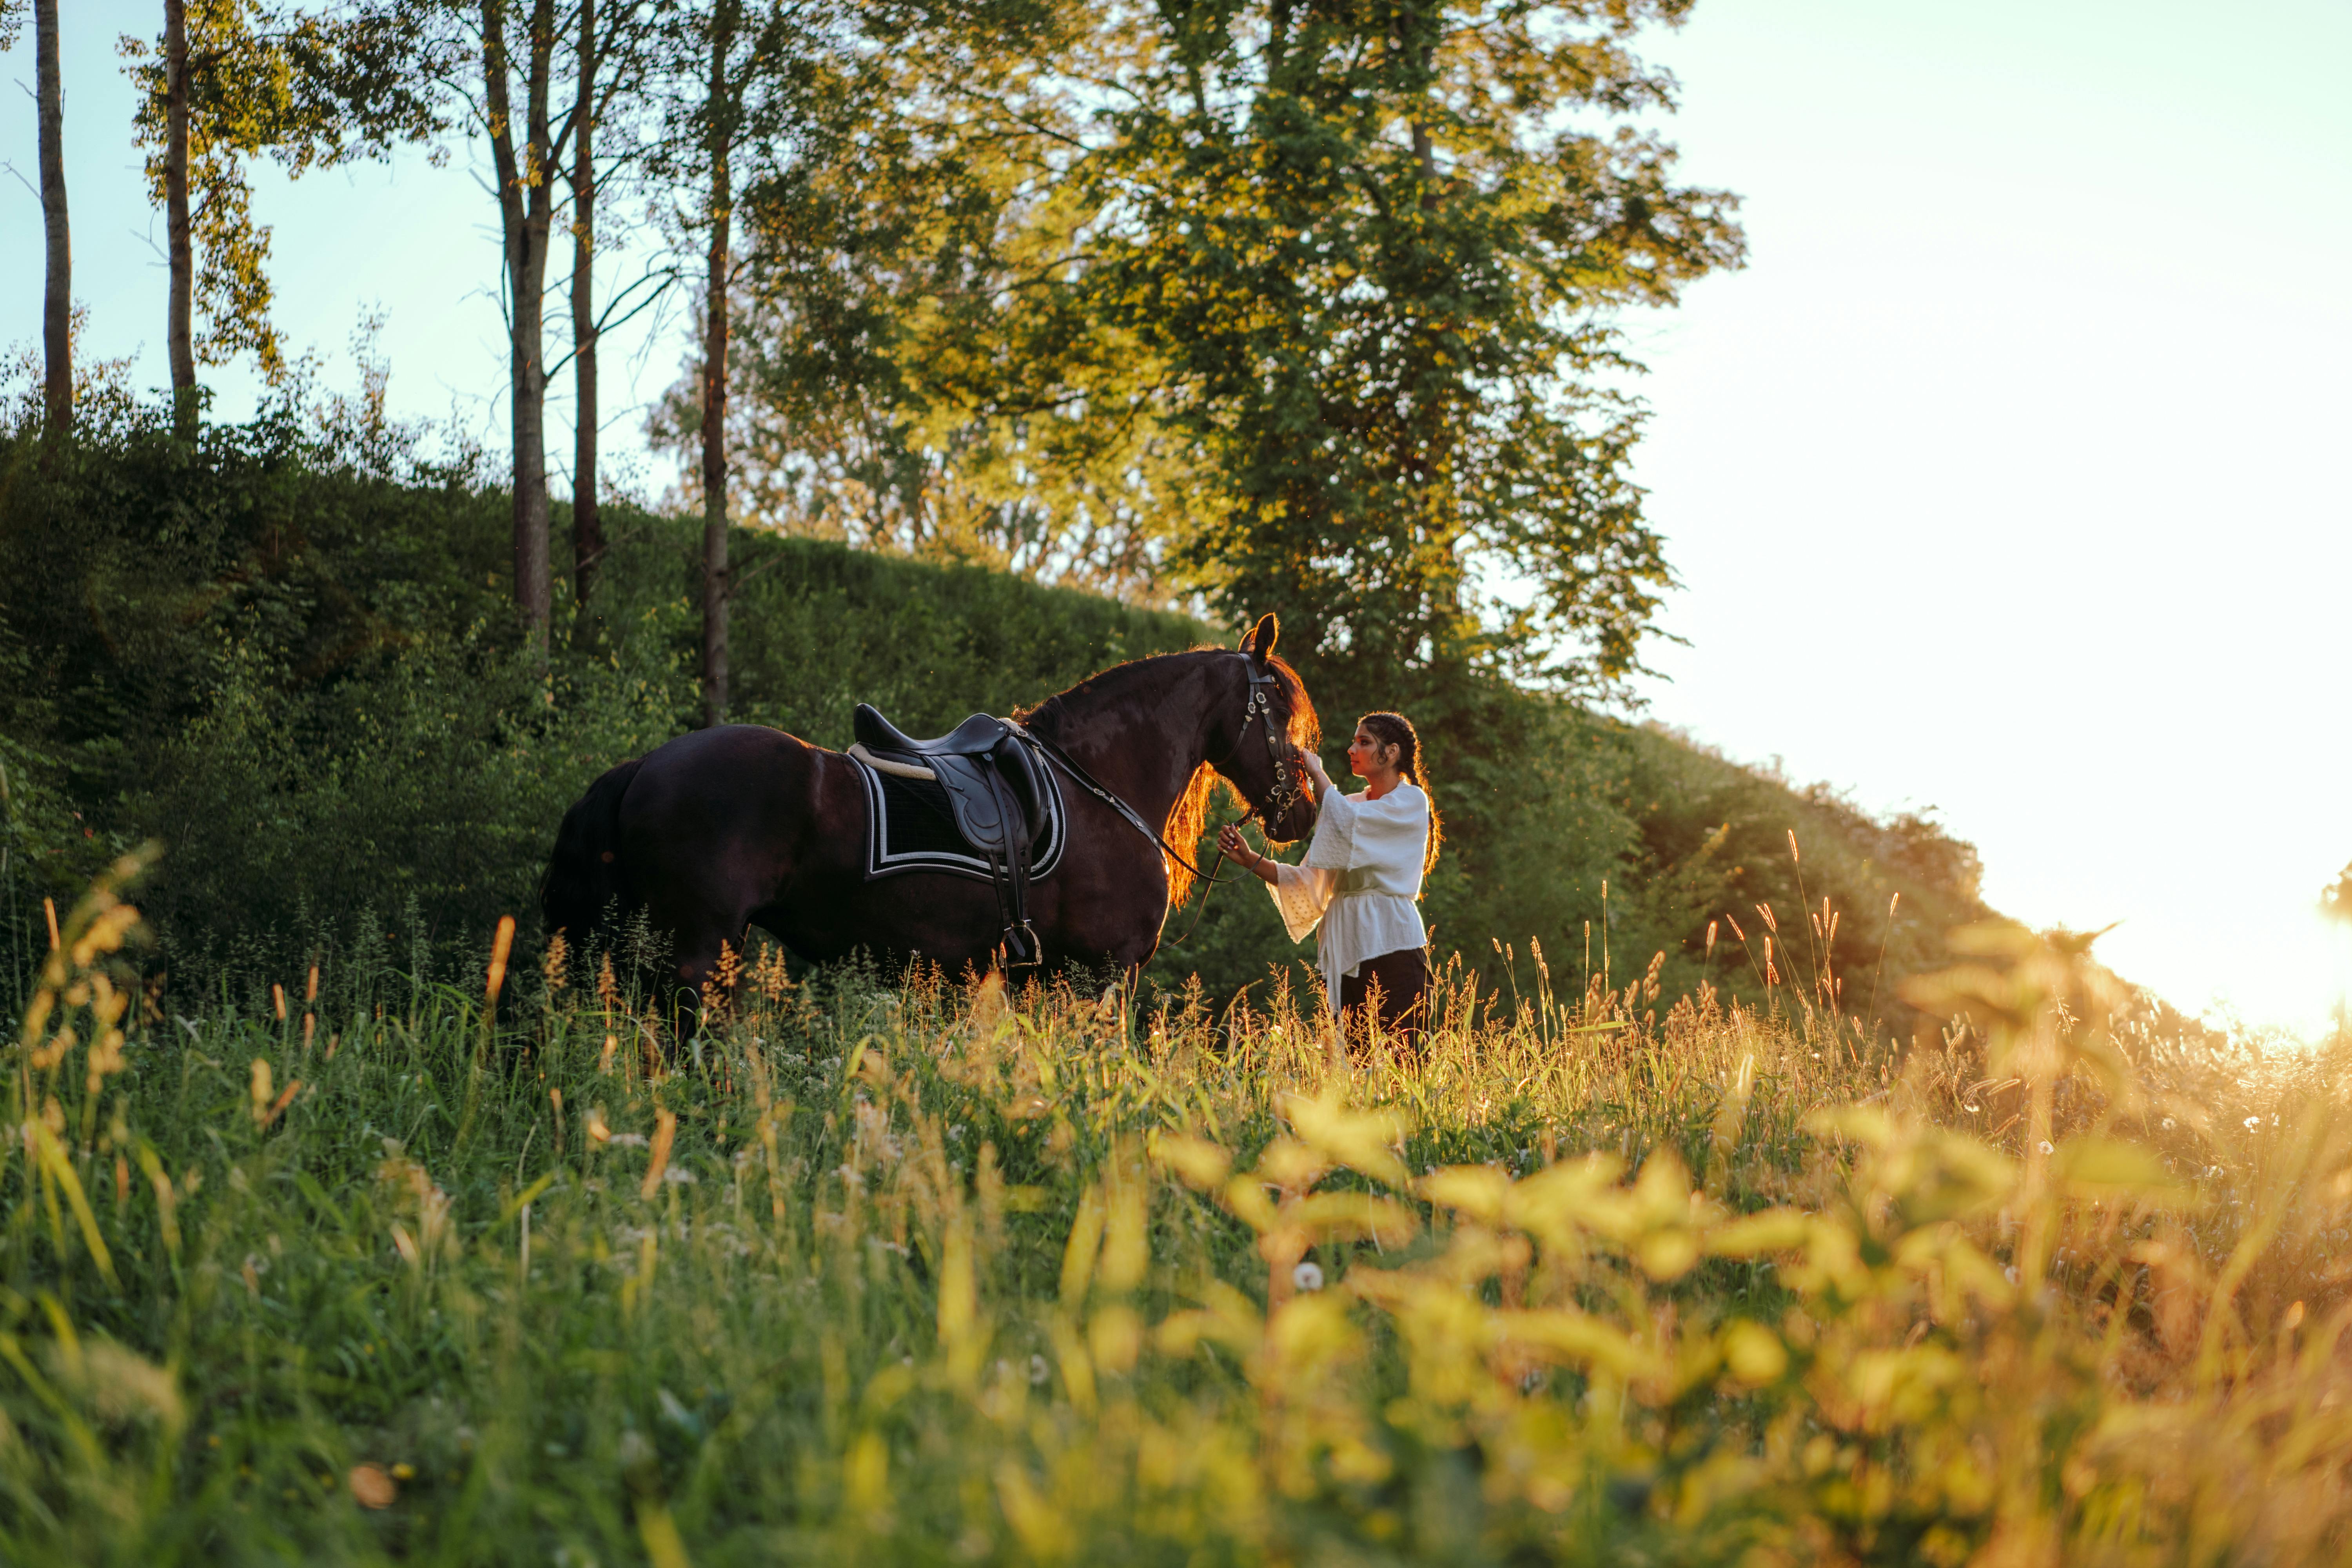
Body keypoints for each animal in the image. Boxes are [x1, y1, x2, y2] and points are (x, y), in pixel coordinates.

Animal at [539, 613, 1321, 1004]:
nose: (1304, 815)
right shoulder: (1105, 974)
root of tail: (646, 766)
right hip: (698, 952)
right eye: (1280, 709)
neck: (1096, 785)